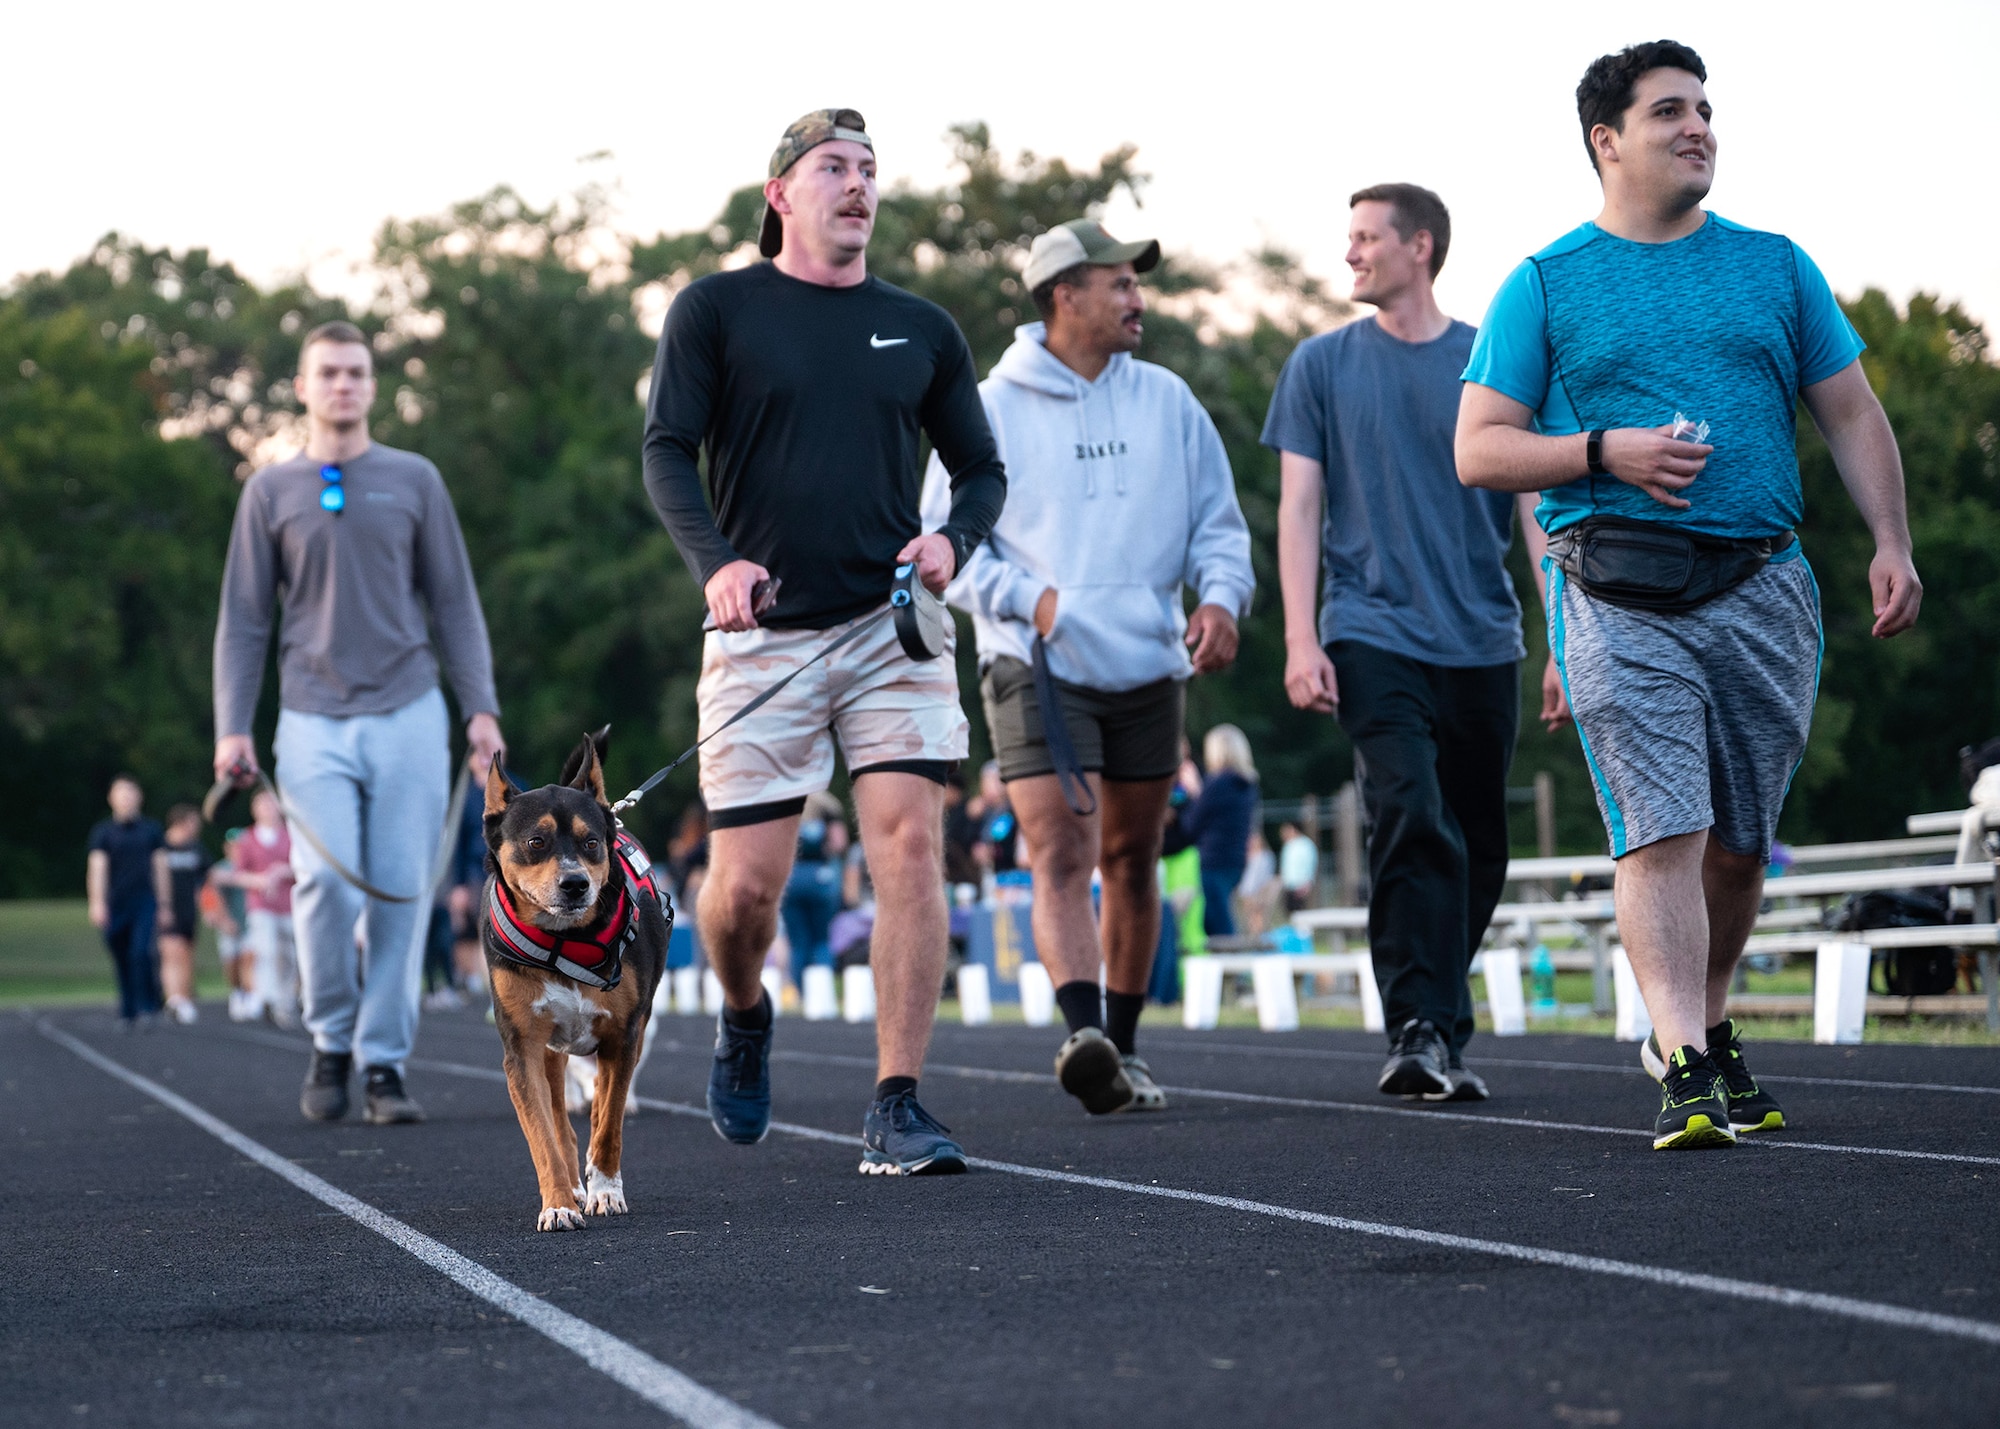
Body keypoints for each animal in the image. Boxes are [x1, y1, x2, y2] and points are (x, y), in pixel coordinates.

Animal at [480, 736, 668, 1224]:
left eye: (591, 842)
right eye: (536, 841)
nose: (575, 883)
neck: (566, 940)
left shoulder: (623, 1036)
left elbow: (609, 1123)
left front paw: (606, 1190)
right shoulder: (523, 1047)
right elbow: (544, 1135)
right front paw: (560, 1204)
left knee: (602, 1102)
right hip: (551, 1049)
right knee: (560, 1118)